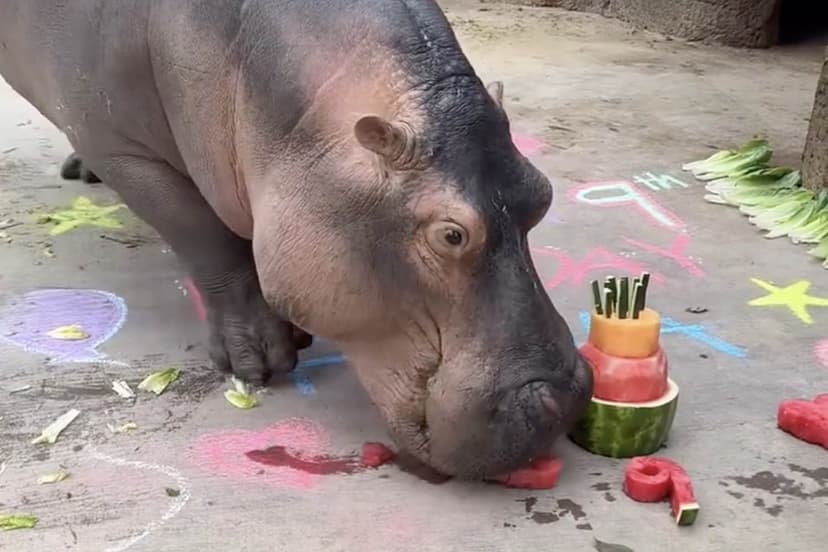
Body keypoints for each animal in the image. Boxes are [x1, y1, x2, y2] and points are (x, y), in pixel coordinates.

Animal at [0, 0, 592, 480]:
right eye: (451, 235)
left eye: (542, 191)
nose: (564, 400)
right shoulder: (124, 149)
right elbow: (207, 239)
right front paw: (261, 361)